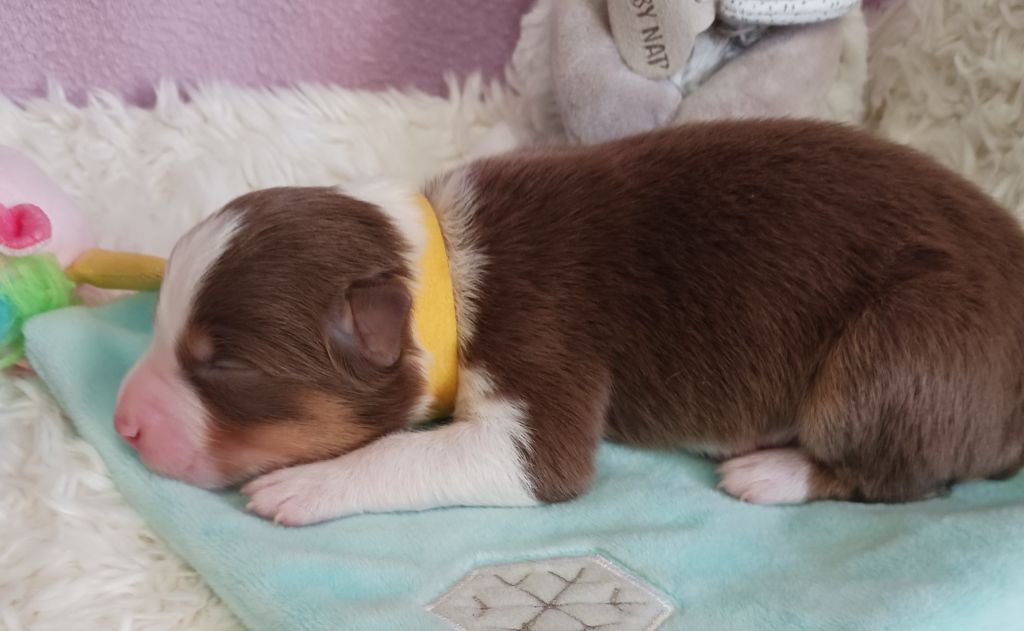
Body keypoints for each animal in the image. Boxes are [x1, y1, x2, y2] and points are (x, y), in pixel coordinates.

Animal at [114, 119, 1024, 526]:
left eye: (223, 365)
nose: (123, 421)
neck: (442, 268)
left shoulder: (540, 348)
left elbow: (462, 453)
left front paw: (306, 484)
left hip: (903, 351)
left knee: (905, 473)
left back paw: (771, 471)